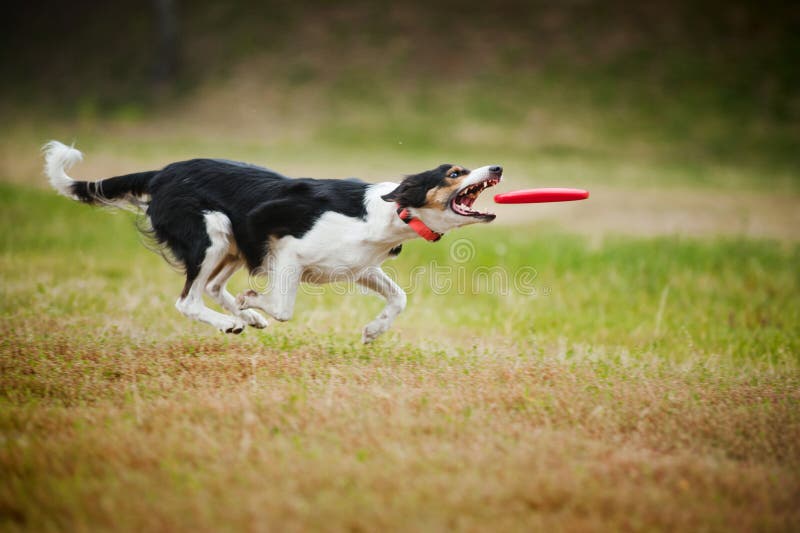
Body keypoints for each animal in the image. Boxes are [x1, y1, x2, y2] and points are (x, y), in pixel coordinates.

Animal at [42, 141, 500, 340]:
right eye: (455, 173)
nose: (496, 166)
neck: (389, 213)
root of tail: (161, 172)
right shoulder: (287, 250)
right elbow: (282, 307)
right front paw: (253, 301)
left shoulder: (357, 267)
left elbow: (400, 297)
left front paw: (373, 330)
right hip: (213, 232)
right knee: (188, 300)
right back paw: (232, 321)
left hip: (230, 240)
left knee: (210, 287)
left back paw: (246, 318)